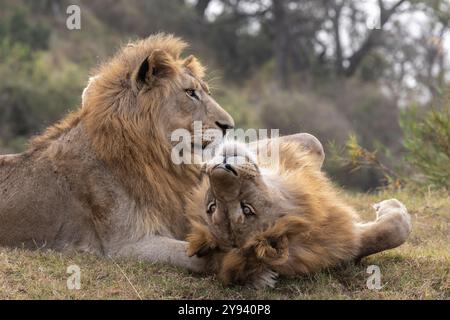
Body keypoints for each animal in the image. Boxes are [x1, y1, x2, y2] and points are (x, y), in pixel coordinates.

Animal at [0, 33, 239, 272]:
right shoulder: (126, 245)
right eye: (190, 93)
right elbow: (202, 258)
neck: (158, 157)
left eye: (207, 93)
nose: (229, 126)